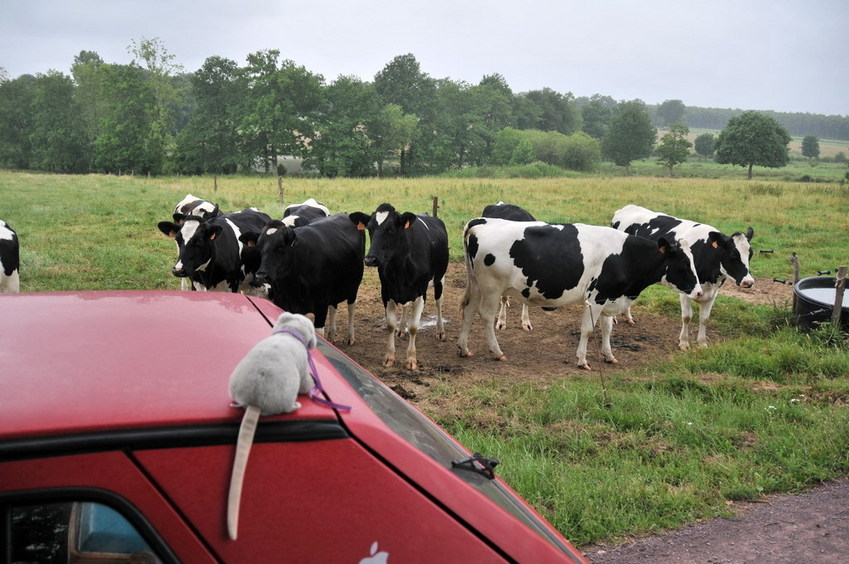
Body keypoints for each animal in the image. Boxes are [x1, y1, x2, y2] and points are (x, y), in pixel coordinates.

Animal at [243, 213, 366, 342]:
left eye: (281, 246)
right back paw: (331, 335)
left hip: (353, 286)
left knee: (351, 306)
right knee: (333, 306)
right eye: (259, 246)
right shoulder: (283, 305)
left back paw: (350, 336)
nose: (261, 275)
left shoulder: (321, 305)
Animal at [348, 203, 450, 370]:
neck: (400, 269)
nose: (370, 259)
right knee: (405, 306)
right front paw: (389, 357)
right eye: (369, 228)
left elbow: (414, 326)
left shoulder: (420, 293)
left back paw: (440, 331)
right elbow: (390, 324)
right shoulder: (386, 292)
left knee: (439, 302)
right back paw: (401, 329)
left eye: (391, 229)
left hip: (440, 278)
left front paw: (411, 359)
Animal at [458, 217, 704, 370]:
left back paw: (464, 348)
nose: (700, 292)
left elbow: (607, 328)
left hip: (476, 285)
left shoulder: (609, 296)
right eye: (683, 265)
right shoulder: (596, 297)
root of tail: (481, 221)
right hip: (492, 287)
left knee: (468, 311)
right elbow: (588, 330)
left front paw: (609, 355)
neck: (624, 256)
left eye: (693, 262)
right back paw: (496, 351)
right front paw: (582, 360)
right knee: (486, 316)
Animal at [608, 204, 756, 348]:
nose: (748, 282)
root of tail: (626, 208)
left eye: (751, 254)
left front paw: (702, 344)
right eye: (733, 255)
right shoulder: (686, 289)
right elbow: (687, 317)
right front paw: (684, 343)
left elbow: (705, 319)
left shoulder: (712, 293)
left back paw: (628, 317)